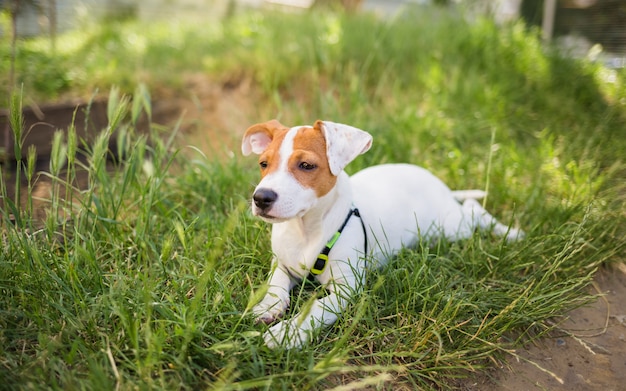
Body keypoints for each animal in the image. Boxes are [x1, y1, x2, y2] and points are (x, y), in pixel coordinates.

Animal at [240, 119, 520, 350]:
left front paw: (287, 333)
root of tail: (440, 185)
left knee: (474, 210)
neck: (306, 230)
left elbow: (316, 309)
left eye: (306, 165)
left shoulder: (345, 289)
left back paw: (511, 232)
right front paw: (267, 305)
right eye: (264, 164)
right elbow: (276, 282)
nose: (261, 198)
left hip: (450, 228)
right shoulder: (282, 263)